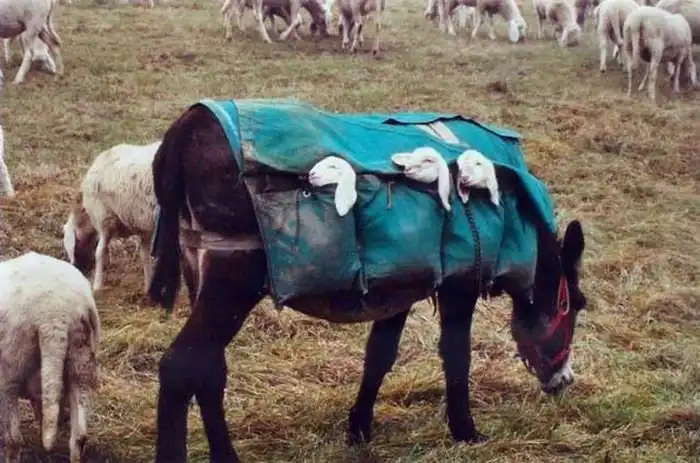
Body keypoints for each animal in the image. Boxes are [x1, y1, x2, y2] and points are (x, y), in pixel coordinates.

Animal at [62, 141, 160, 293]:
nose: (81, 272)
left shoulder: (103, 219)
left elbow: (100, 252)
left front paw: (97, 286)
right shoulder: (143, 224)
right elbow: (145, 255)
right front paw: (149, 286)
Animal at [147, 102, 588, 462]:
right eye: (576, 305)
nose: (564, 381)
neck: (517, 217)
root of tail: (190, 123)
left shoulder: (402, 287)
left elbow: (379, 355)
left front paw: (359, 428)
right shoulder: (459, 287)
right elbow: (456, 356)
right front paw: (466, 432)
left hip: (205, 282)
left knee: (208, 369)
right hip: (231, 284)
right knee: (180, 367)